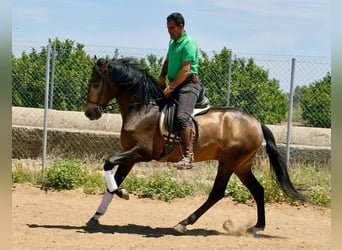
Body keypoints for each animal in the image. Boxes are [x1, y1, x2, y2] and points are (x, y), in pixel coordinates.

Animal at [83, 56, 308, 234]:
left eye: (95, 83)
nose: (89, 113)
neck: (142, 109)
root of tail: (256, 122)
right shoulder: (130, 155)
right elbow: (113, 179)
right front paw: (96, 215)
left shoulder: (141, 153)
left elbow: (108, 163)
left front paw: (122, 193)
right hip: (241, 165)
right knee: (258, 190)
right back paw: (257, 227)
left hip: (229, 162)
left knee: (217, 193)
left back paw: (184, 223)